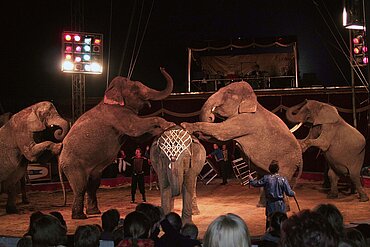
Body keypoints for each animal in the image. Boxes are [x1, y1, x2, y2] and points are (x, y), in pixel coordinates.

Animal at [59, 67, 176, 218]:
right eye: (135, 89)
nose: (162, 68)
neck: (109, 94)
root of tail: (59, 157)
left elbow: (138, 138)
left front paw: (165, 128)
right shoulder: (119, 115)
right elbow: (136, 128)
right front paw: (169, 124)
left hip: (88, 169)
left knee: (93, 185)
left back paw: (94, 212)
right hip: (73, 165)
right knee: (81, 187)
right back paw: (80, 217)